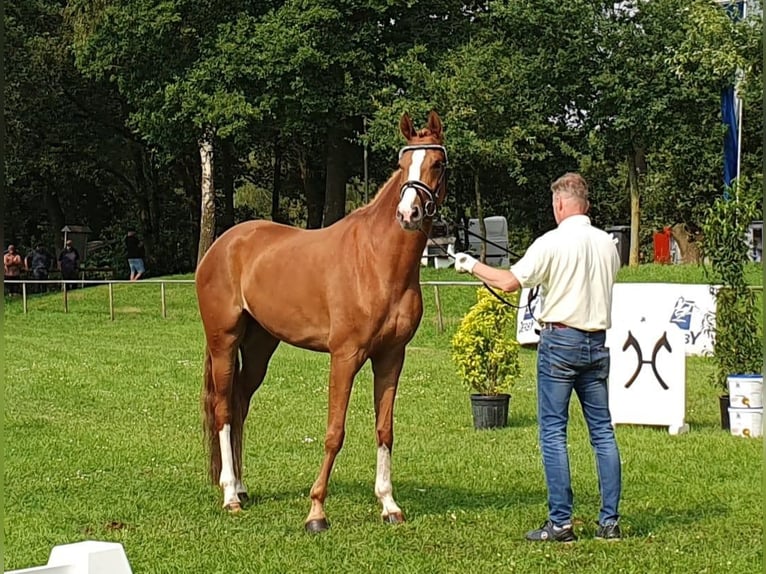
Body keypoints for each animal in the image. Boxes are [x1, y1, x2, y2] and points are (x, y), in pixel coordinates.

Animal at [196, 112, 450, 536]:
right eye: (402, 165)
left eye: (437, 164)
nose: (408, 214)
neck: (378, 262)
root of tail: (221, 246)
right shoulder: (344, 357)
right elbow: (334, 432)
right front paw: (316, 511)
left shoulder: (391, 358)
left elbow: (385, 429)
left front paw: (389, 504)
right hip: (224, 342)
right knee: (223, 409)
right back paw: (230, 494)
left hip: (260, 346)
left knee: (240, 402)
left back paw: (243, 487)